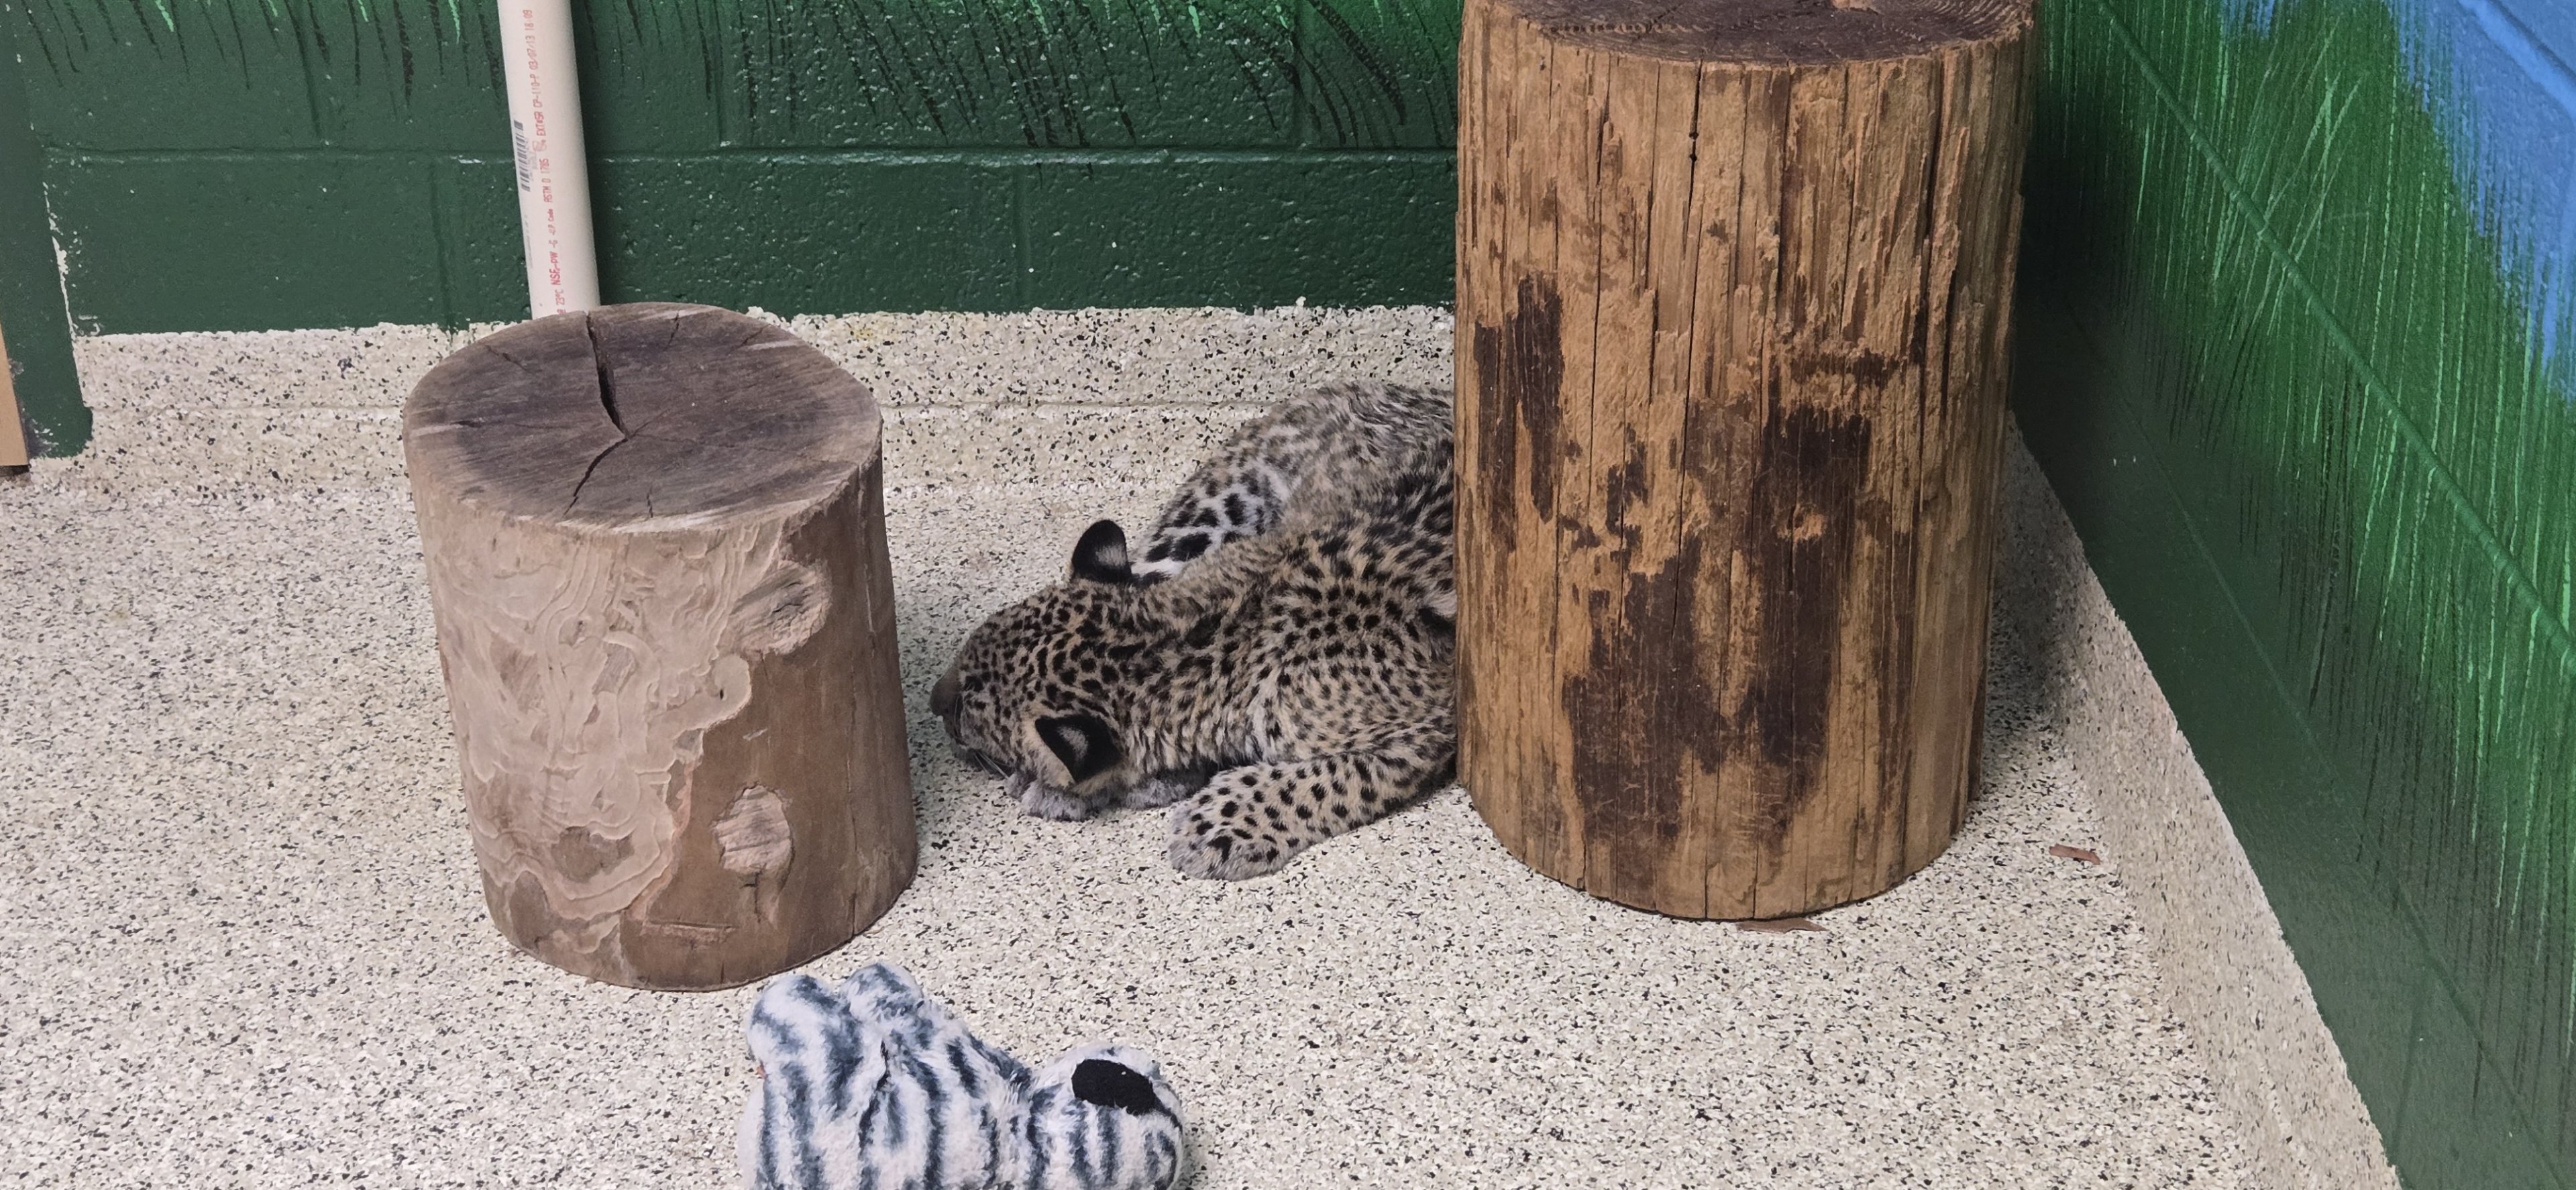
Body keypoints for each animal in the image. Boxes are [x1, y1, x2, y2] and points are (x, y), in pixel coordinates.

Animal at [929, 380, 1457, 880]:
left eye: (969, 703)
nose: (933, 700)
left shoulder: (1426, 727)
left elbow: (1332, 779)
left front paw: (1224, 825)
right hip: (1201, 520)